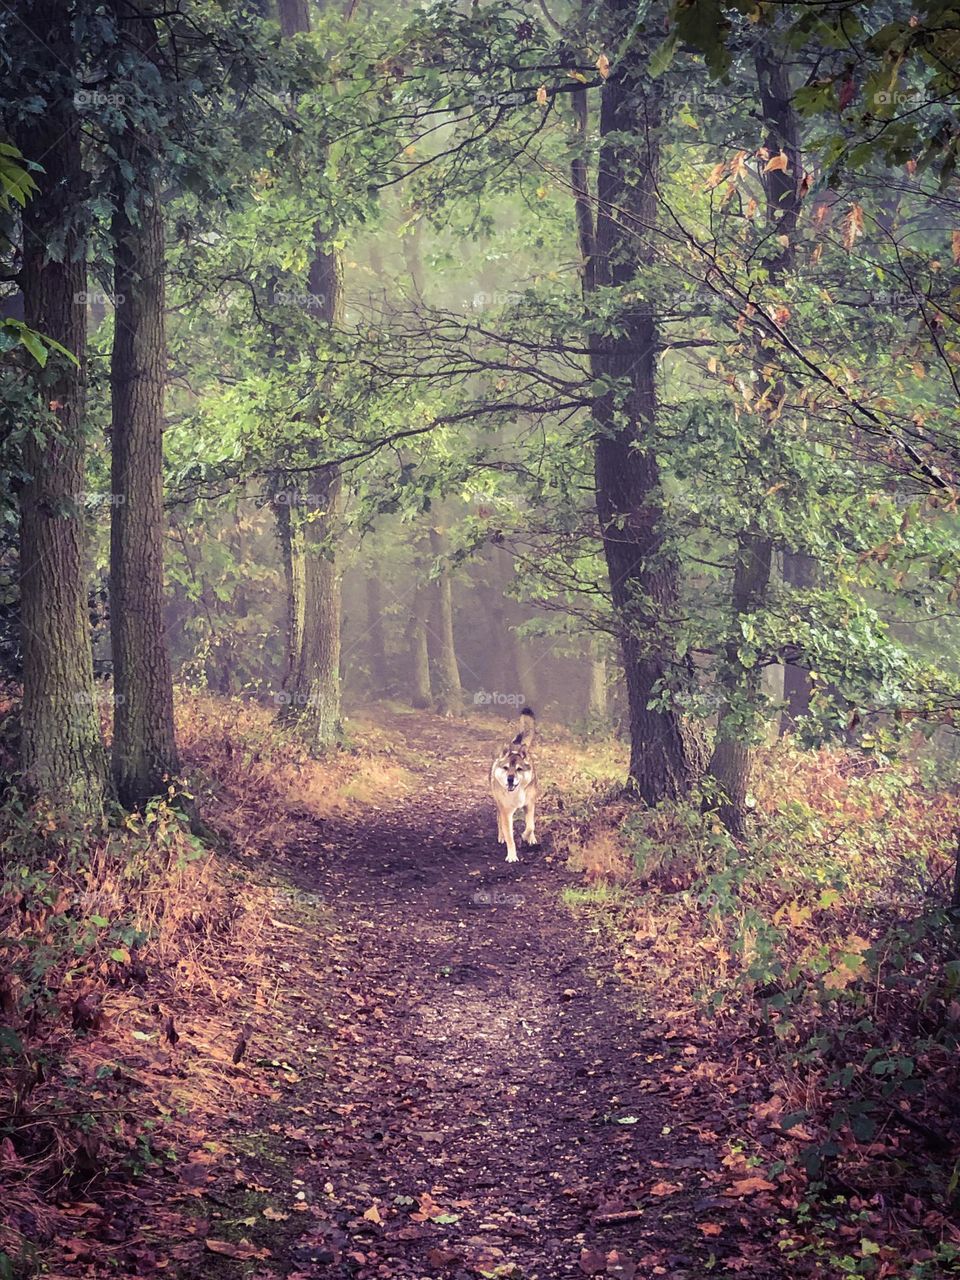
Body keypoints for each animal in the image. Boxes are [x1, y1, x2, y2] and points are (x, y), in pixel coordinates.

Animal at [488, 706, 542, 865]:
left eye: (519, 769)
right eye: (506, 768)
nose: (510, 779)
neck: (516, 792)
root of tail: (516, 745)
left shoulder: (529, 804)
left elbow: (530, 826)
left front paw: (526, 836)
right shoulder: (506, 812)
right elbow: (510, 836)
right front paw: (512, 856)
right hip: (498, 803)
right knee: (498, 819)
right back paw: (501, 837)